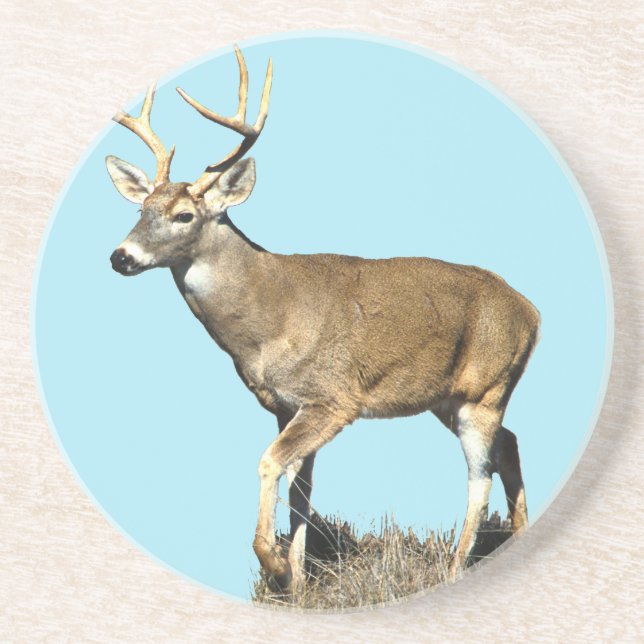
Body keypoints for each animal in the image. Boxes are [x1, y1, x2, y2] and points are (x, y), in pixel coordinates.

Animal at [106, 45, 540, 594]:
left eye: (184, 215)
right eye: (141, 209)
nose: (120, 256)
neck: (268, 322)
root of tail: (532, 310)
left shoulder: (333, 398)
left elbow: (270, 462)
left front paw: (272, 564)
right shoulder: (283, 405)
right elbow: (301, 492)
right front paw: (295, 581)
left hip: (486, 388)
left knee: (478, 476)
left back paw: (455, 567)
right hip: (449, 397)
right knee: (511, 444)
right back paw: (518, 534)